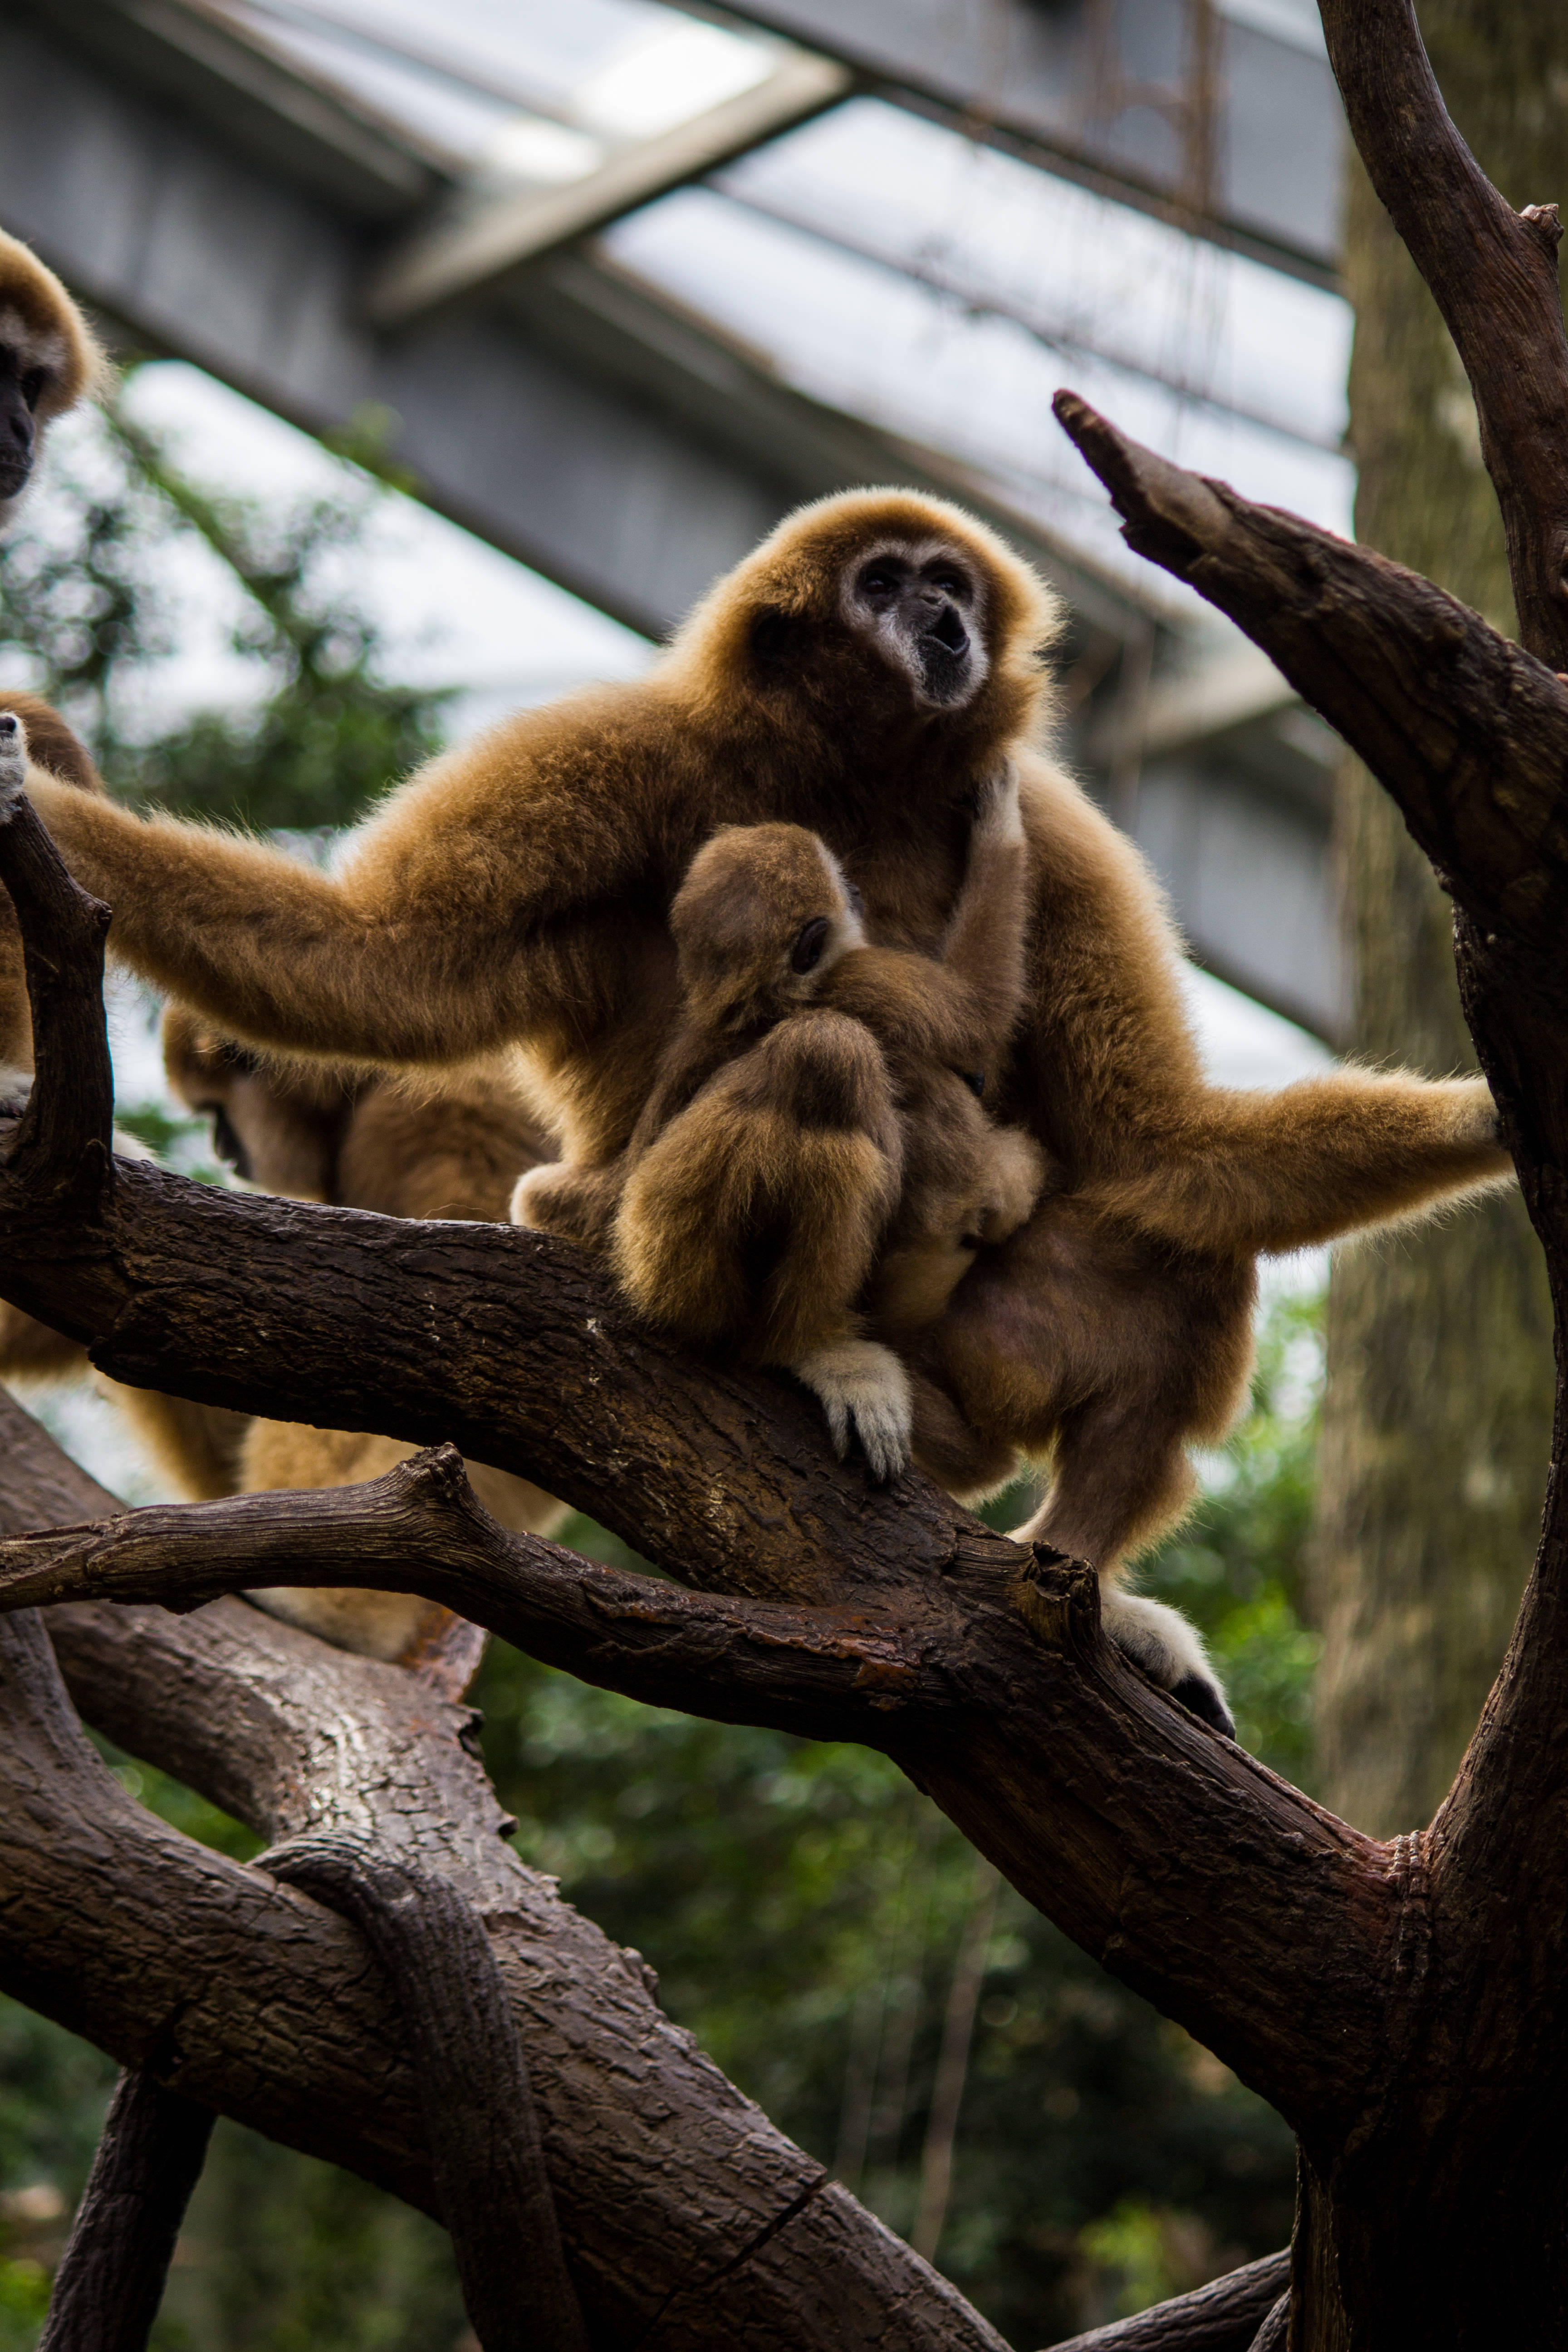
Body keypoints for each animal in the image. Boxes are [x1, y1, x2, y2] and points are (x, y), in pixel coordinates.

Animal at [513, 765, 1046, 1477]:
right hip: (666, 1255)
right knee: (826, 1054)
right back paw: (813, 1347)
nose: (858, 893)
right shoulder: (867, 976)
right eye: (844, 889)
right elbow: (978, 1010)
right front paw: (1001, 826)